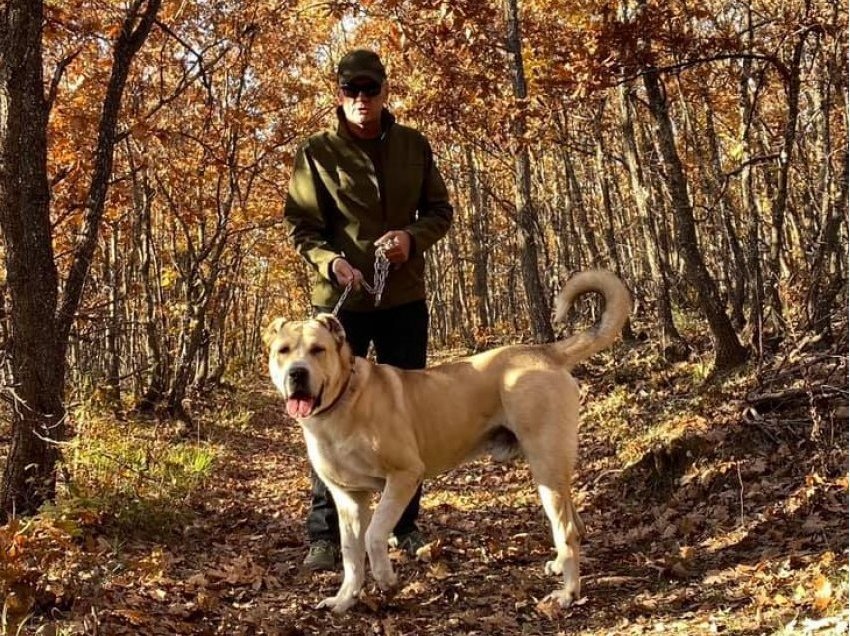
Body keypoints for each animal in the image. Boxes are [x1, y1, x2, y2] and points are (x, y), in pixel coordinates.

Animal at [264, 268, 628, 612]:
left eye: (318, 350)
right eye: (283, 351)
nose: (297, 373)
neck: (341, 404)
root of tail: (545, 352)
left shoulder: (404, 475)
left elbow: (374, 533)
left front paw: (386, 578)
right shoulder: (348, 498)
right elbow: (351, 554)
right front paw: (344, 600)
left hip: (545, 463)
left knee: (567, 529)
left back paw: (568, 594)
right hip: (549, 469)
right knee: (575, 524)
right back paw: (560, 567)